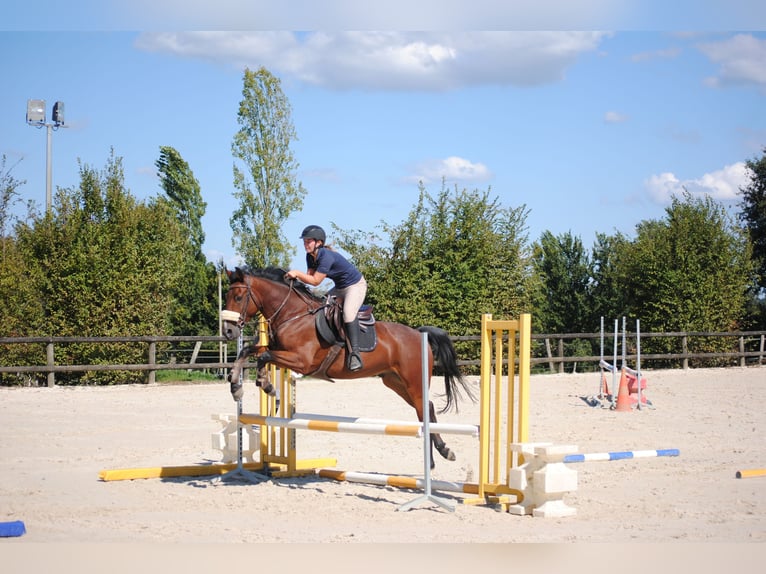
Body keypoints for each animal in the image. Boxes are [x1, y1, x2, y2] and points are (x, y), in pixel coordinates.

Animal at [219, 266, 476, 468]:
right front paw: (236, 388)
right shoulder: (279, 352)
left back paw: (440, 454)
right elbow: (248, 351)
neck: (293, 314)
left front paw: (266, 385)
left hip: (414, 380)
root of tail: (418, 334)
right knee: (426, 408)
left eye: (239, 297)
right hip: (395, 381)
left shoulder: (301, 360)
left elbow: (264, 357)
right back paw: (440, 453)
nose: (229, 332)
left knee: (424, 409)